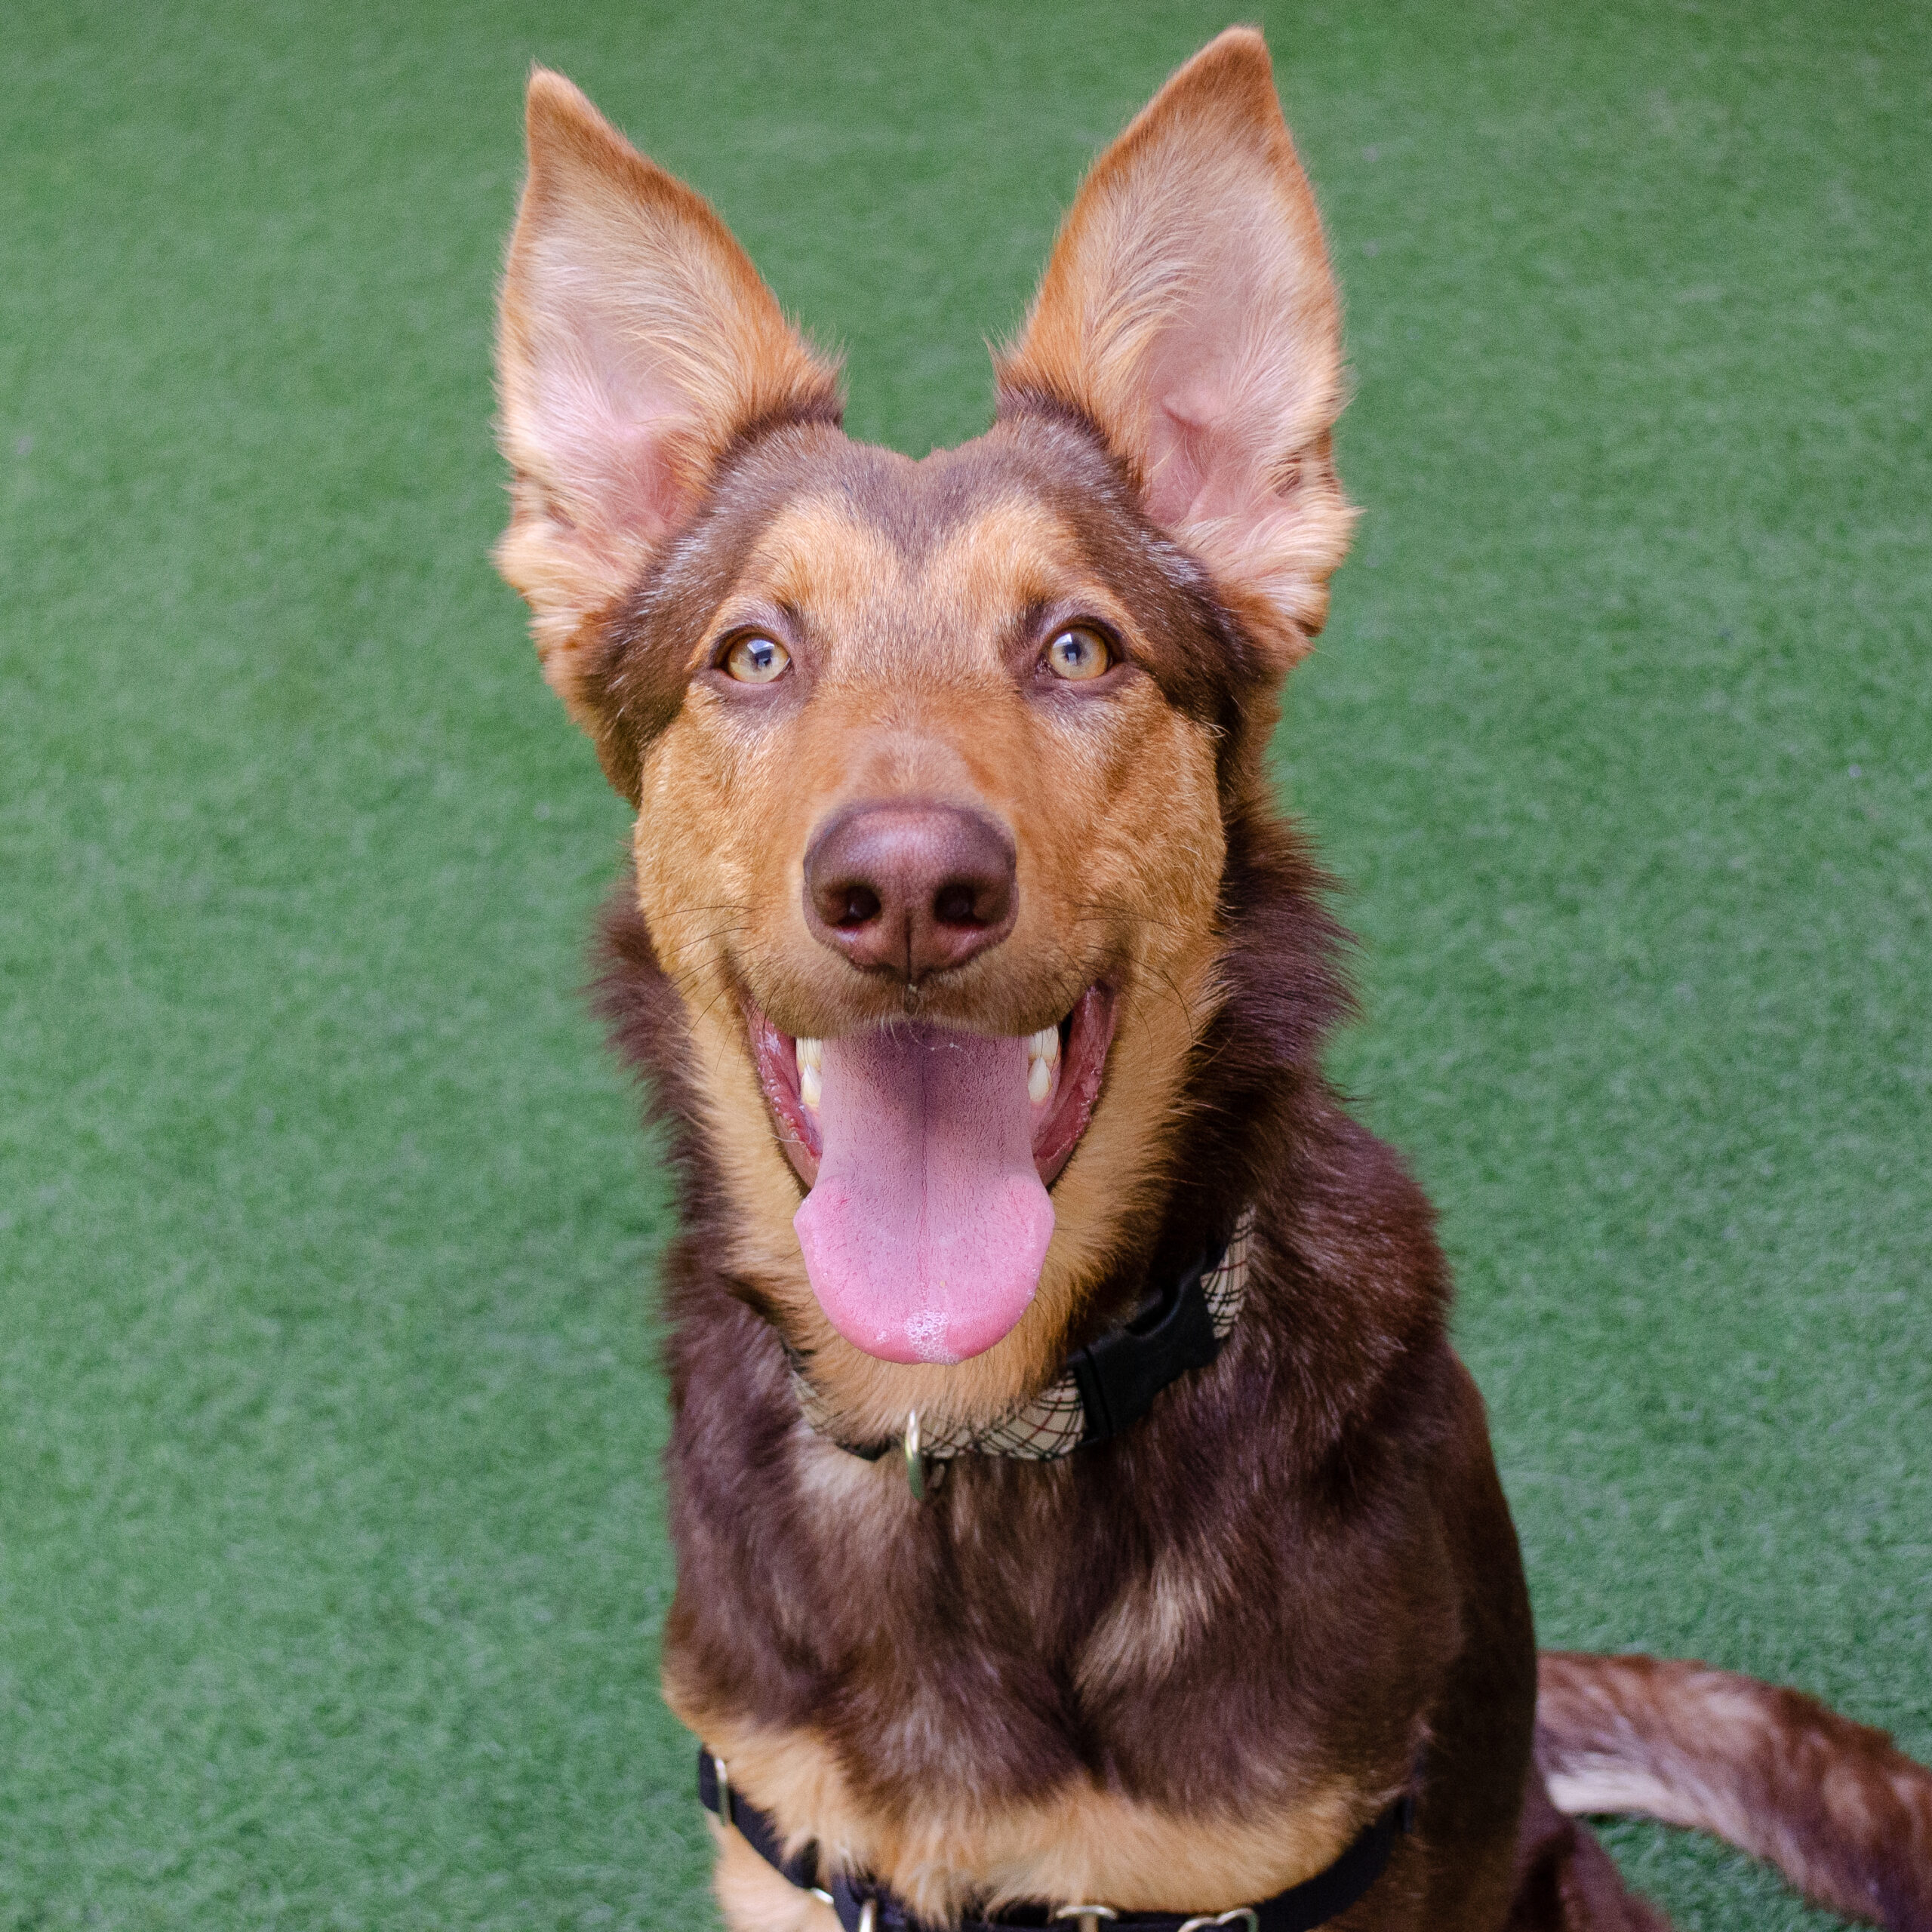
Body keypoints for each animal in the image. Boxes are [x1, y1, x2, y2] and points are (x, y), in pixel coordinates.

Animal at [487, 30, 1932, 1932]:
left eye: (1075, 646)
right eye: (750, 653)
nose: (906, 888)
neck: (976, 1449)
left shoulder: (1298, 1868)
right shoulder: (788, 1857)